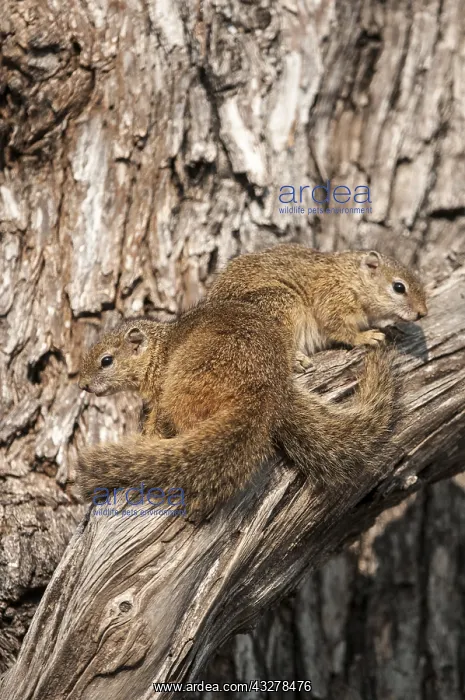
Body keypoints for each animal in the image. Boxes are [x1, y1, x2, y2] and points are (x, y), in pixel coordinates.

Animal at [77, 244, 427, 516]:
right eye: (399, 287)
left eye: (106, 361)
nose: (82, 384)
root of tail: (261, 392)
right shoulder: (334, 299)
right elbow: (339, 327)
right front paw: (367, 335)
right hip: (281, 303)